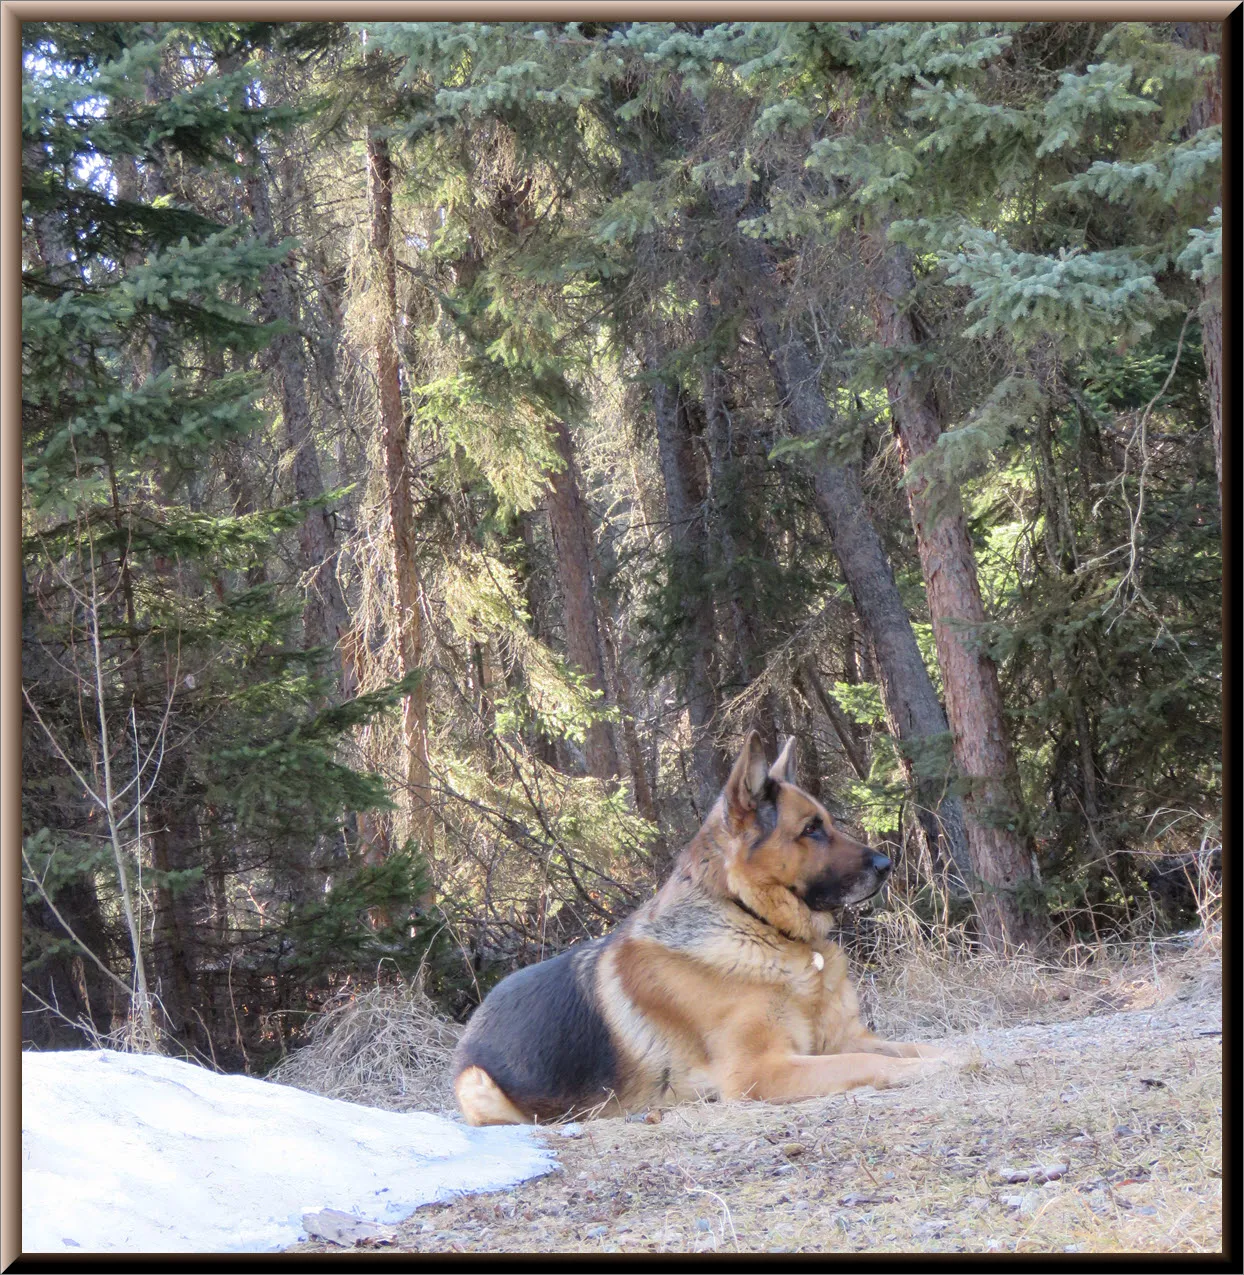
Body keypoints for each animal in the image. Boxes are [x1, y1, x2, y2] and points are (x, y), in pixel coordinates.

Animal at [456, 729, 953, 1127]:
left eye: (827, 822)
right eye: (811, 829)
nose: (887, 865)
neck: (754, 922)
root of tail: (479, 1015)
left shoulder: (846, 1038)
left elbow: (915, 1047)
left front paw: (955, 1055)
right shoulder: (761, 1071)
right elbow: (869, 1062)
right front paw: (933, 1071)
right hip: (480, 1085)